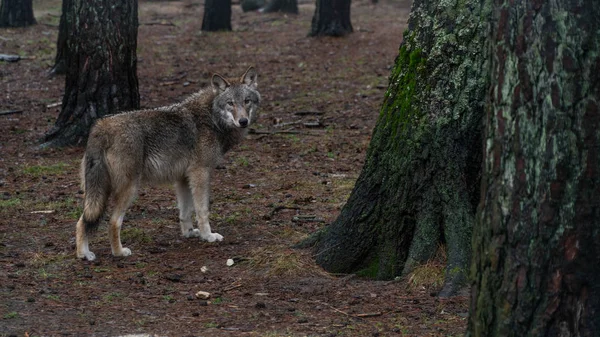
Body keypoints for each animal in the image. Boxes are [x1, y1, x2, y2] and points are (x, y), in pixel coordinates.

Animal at [74, 66, 258, 260]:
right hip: (129, 189)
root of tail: (101, 126)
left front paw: (189, 233)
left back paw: (83, 254)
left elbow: (185, 212)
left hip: (97, 192)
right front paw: (208, 236)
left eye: (246, 101)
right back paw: (119, 253)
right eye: (230, 103)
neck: (212, 118)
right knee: (113, 222)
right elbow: (202, 210)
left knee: (81, 221)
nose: (243, 121)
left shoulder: (183, 178)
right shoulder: (201, 173)